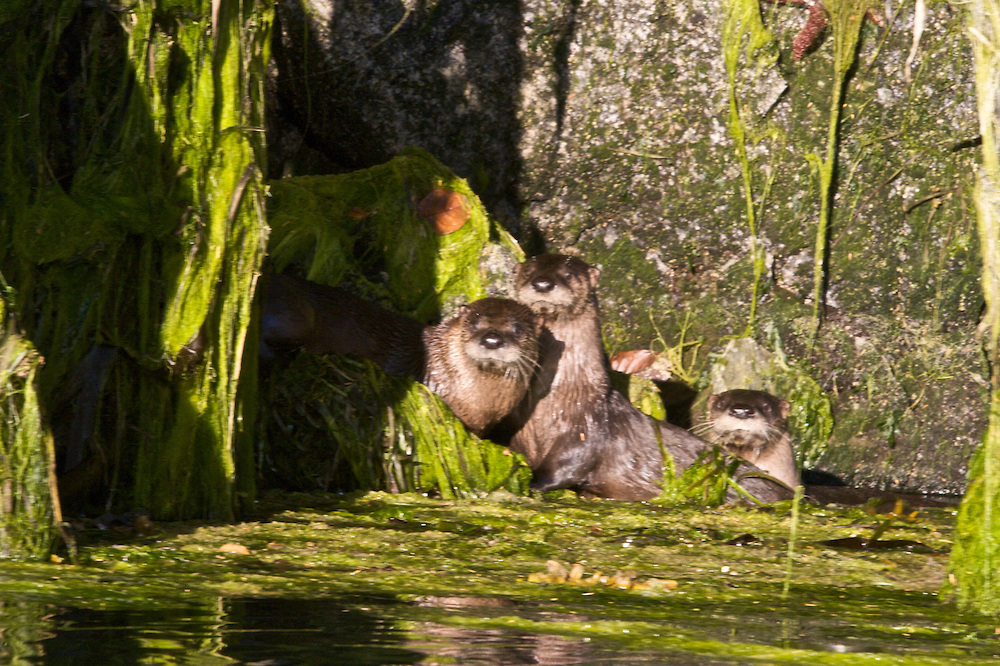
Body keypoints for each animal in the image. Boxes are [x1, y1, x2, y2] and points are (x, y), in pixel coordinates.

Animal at [512, 255, 792, 504]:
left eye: (568, 274)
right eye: (528, 272)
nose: (543, 283)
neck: (559, 394)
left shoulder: (585, 430)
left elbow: (566, 467)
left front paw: (530, 483)